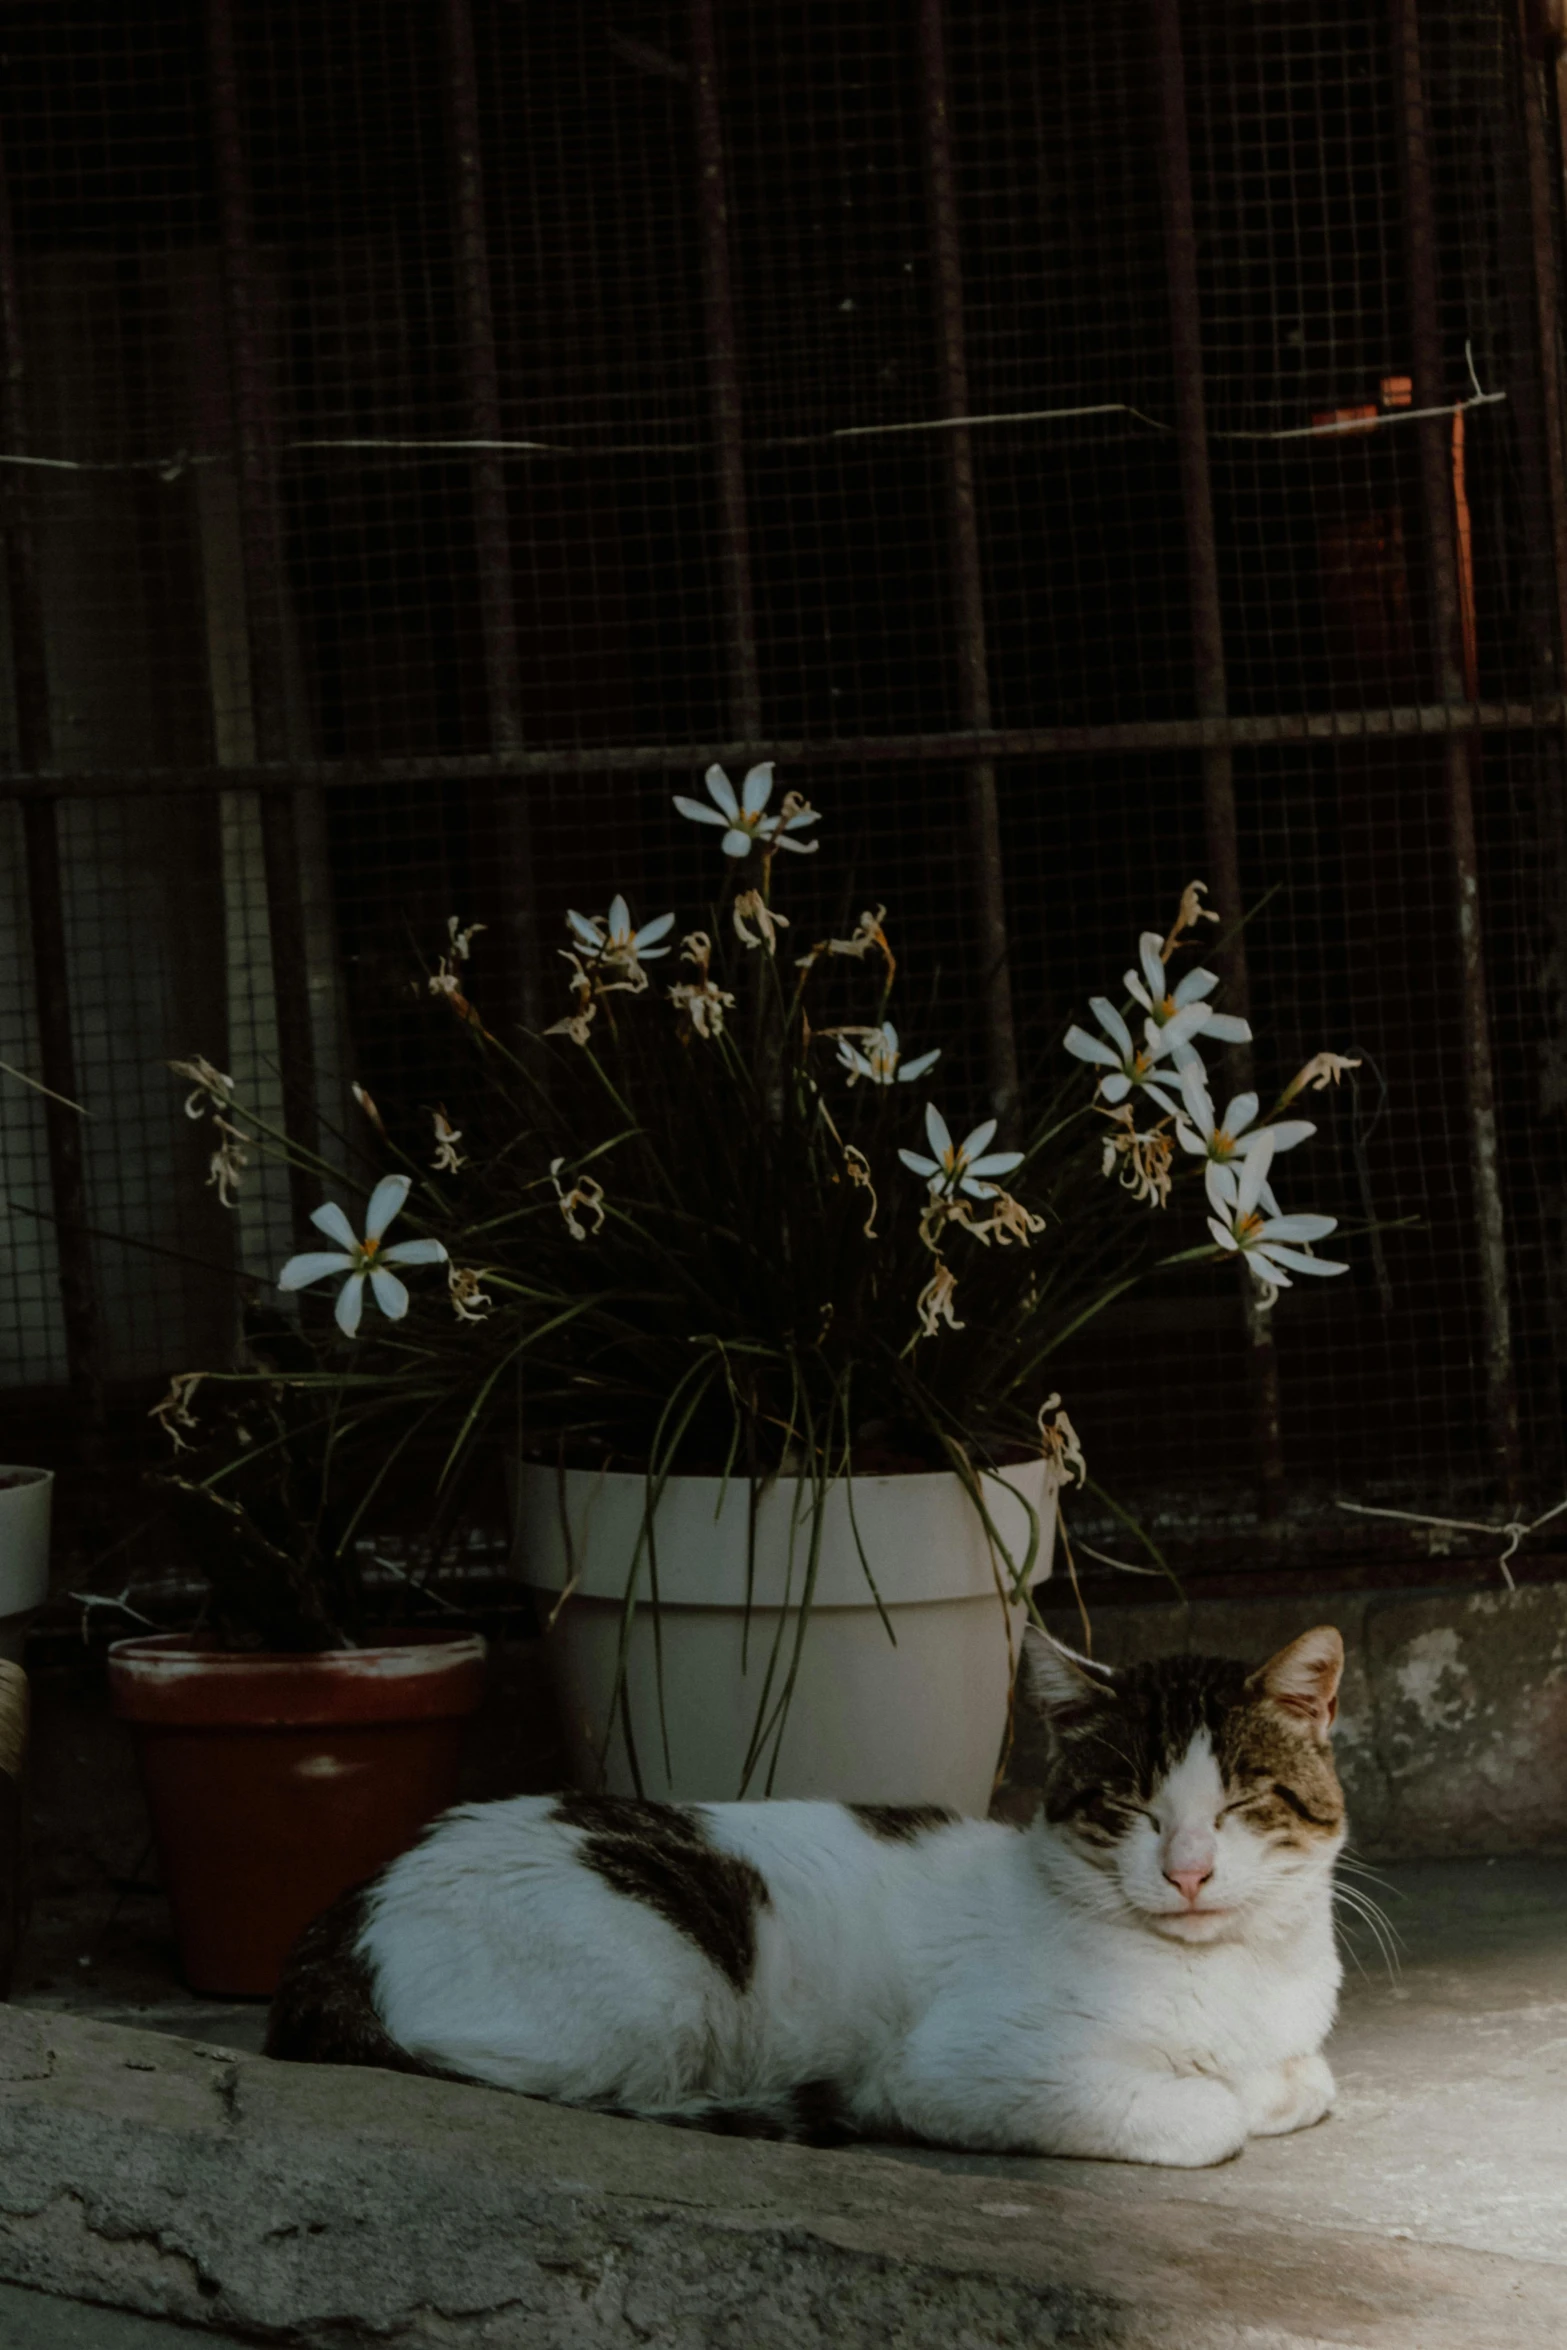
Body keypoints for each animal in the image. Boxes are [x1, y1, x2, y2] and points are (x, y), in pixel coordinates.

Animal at [270, 1635, 1353, 2162]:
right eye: (1129, 1805)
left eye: (1242, 1801)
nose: (1187, 1870)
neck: (1225, 1974)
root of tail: (350, 1909)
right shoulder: (956, 2067)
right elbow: (1208, 2115)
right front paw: (1236, 2096)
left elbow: (1310, 2078)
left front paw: (1275, 2083)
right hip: (661, 1992)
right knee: (548, 2086)